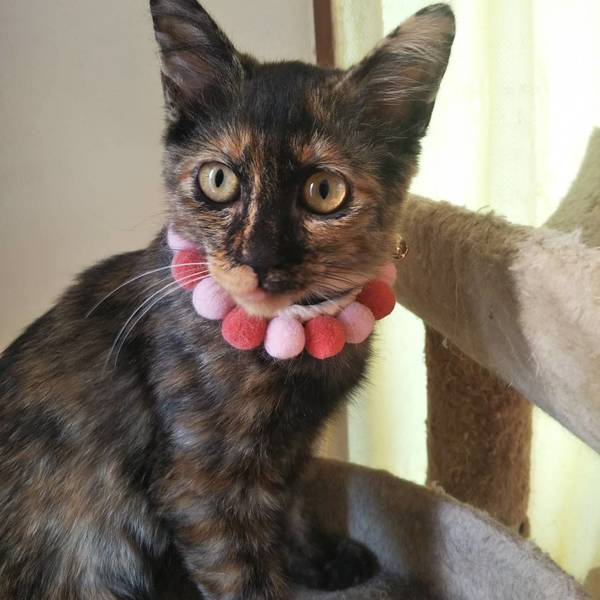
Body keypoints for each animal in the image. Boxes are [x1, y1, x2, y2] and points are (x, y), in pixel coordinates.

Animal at [0, 1, 454, 599]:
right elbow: (247, 578)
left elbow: (290, 508)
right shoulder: (203, 486)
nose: (259, 257)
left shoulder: (290, 453)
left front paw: (317, 559)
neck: (290, 345)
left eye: (325, 192)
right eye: (218, 181)